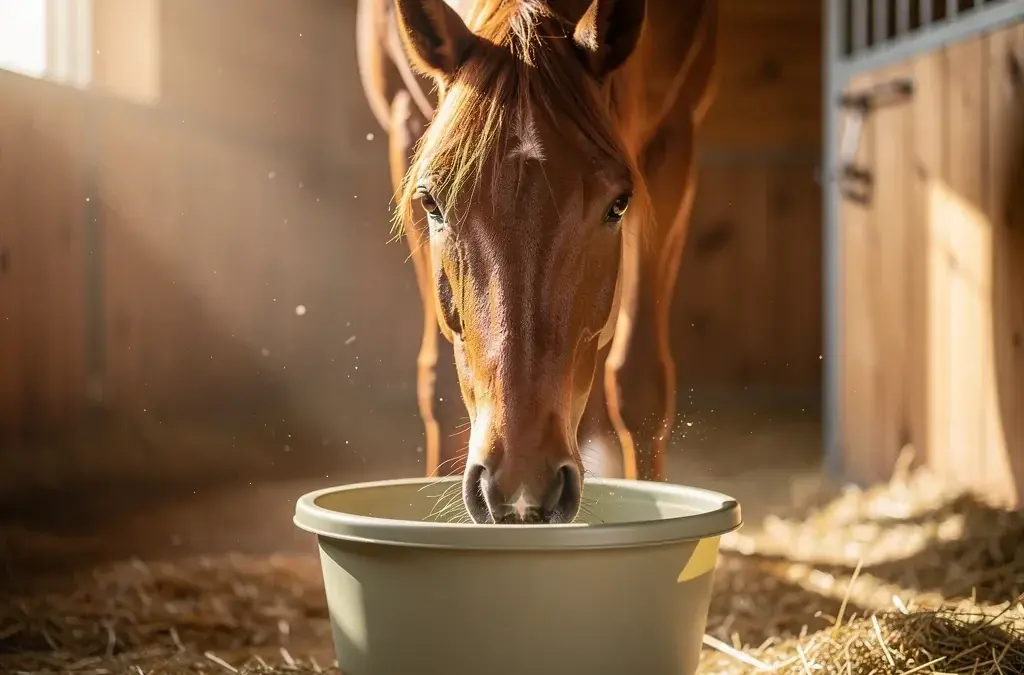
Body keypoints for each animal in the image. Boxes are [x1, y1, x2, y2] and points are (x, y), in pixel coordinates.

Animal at [356, 0, 717, 524]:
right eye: (431, 204)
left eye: (619, 205)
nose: (521, 483)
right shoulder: (406, 126)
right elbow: (439, 382)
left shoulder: (673, 137)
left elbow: (640, 385)